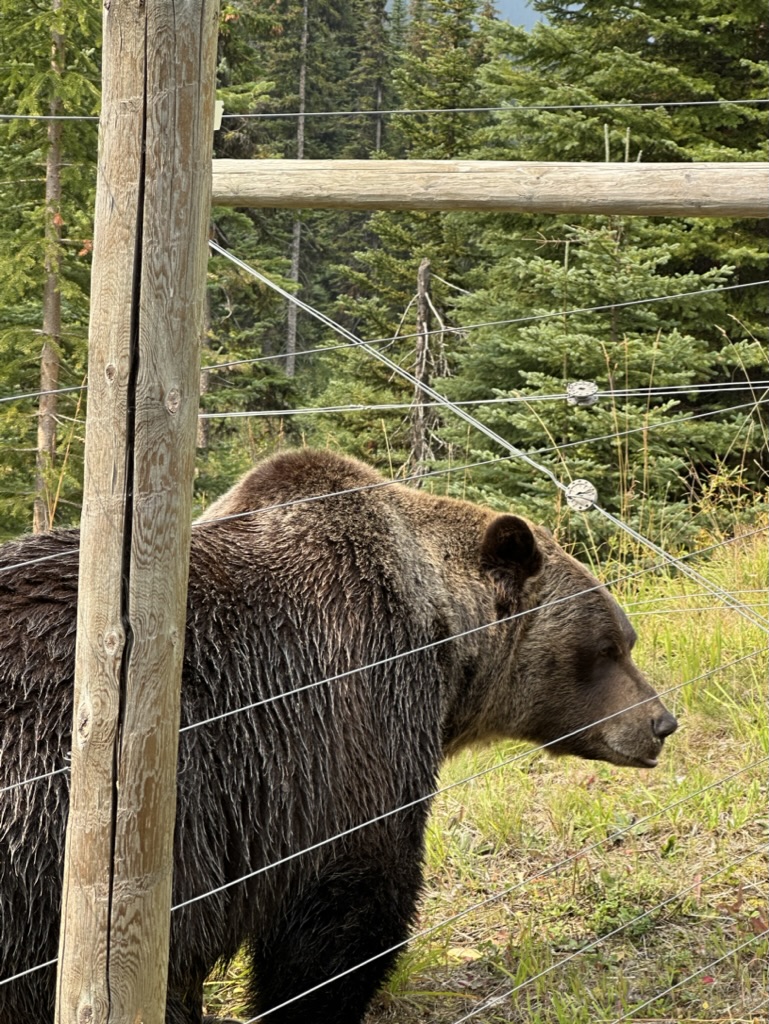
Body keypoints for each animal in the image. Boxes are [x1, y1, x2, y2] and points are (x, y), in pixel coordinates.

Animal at [0, 448, 677, 1024]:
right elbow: (348, 915)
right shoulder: (337, 733)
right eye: (607, 647)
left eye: (626, 639)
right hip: (40, 832)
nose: (661, 723)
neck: (440, 647)